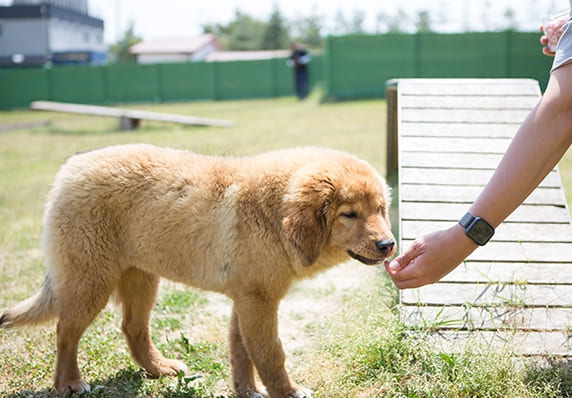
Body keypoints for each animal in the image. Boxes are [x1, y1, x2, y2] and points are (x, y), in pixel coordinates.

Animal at [0, 145, 394, 396]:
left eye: (380, 209)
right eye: (350, 214)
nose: (388, 245)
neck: (272, 213)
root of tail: (70, 170)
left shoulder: (247, 298)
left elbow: (241, 351)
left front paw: (247, 391)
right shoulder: (258, 301)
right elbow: (270, 353)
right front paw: (287, 391)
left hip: (141, 277)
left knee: (132, 328)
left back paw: (158, 369)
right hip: (90, 278)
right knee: (65, 331)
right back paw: (68, 383)